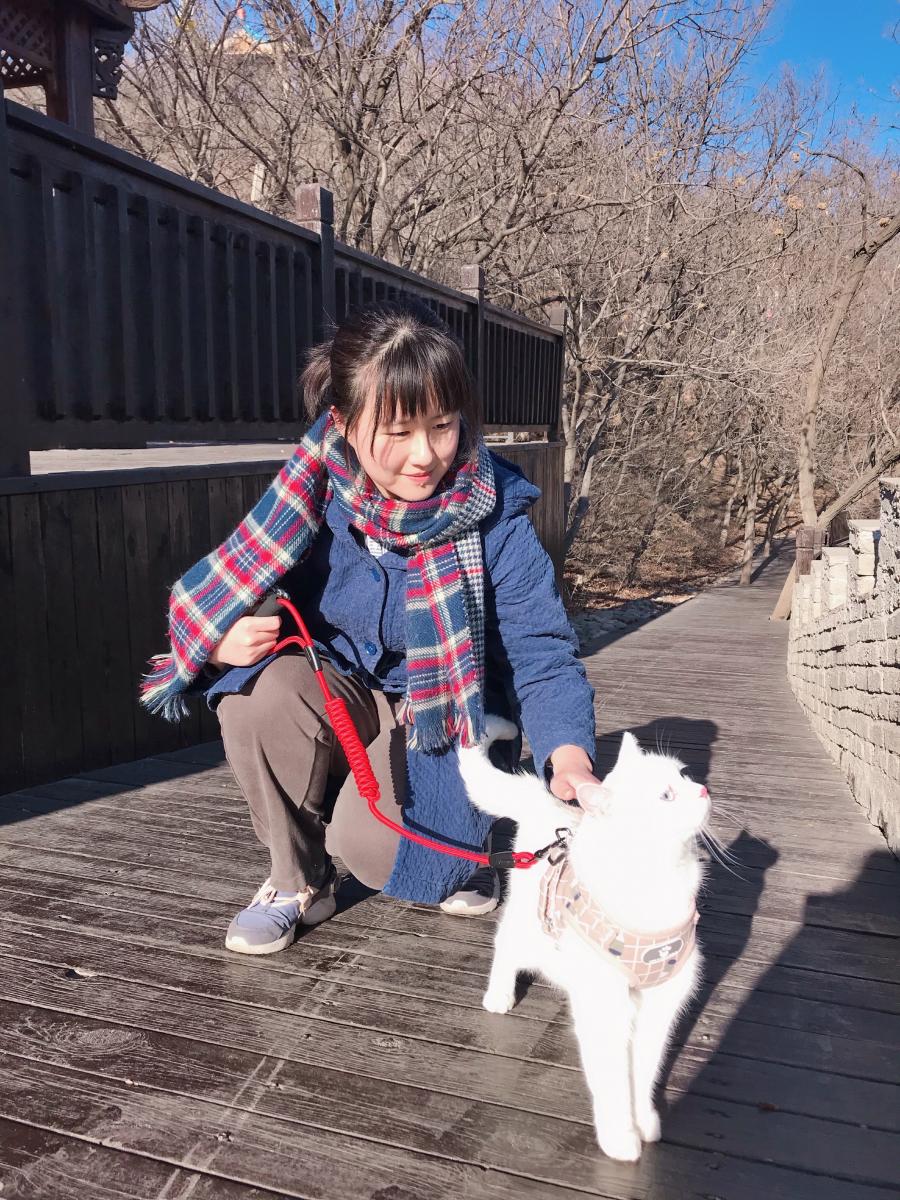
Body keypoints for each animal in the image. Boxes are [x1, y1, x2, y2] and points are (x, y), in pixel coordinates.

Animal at [458, 720, 710, 1161]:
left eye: (684, 775)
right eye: (665, 795)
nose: (703, 790)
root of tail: (555, 813)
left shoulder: (661, 1008)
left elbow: (643, 1074)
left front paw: (644, 1121)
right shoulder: (604, 1011)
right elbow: (612, 1081)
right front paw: (620, 1137)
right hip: (526, 927)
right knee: (505, 947)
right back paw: (499, 996)